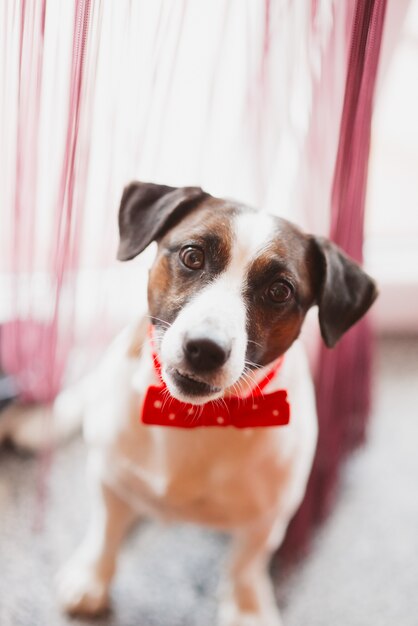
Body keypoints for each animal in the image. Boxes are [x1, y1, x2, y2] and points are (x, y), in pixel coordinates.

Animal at [54, 182, 378, 624]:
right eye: (192, 256)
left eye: (280, 290)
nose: (205, 349)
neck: (194, 417)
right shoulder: (108, 476)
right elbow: (106, 531)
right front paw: (92, 577)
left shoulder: (265, 519)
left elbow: (245, 565)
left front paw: (247, 609)